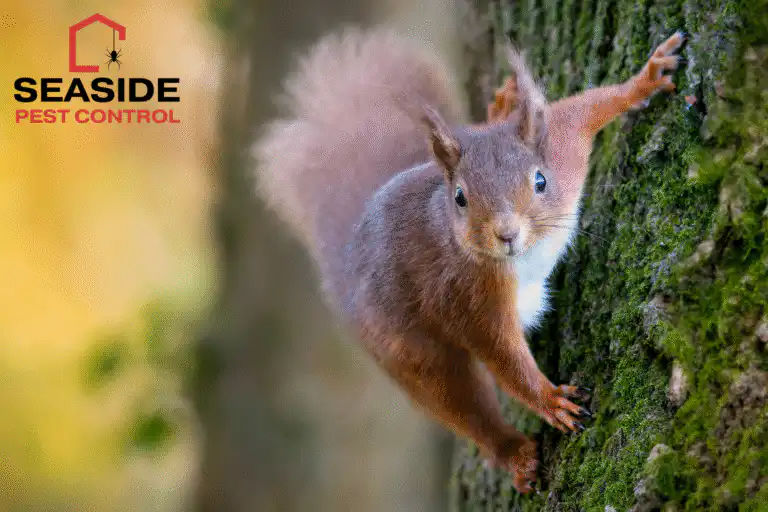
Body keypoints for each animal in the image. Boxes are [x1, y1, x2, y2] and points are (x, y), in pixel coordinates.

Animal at [254, 28, 686, 493]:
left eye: (540, 181)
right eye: (460, 198)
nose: (507, 234)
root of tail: (349, 259)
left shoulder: (563, 145)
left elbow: (585, 107)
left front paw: (646, 79)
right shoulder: (466, 296)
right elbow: (503, 356)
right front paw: (550, 401)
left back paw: (501, 105)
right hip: (410, 352)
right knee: (463, 406)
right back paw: (515, 455)